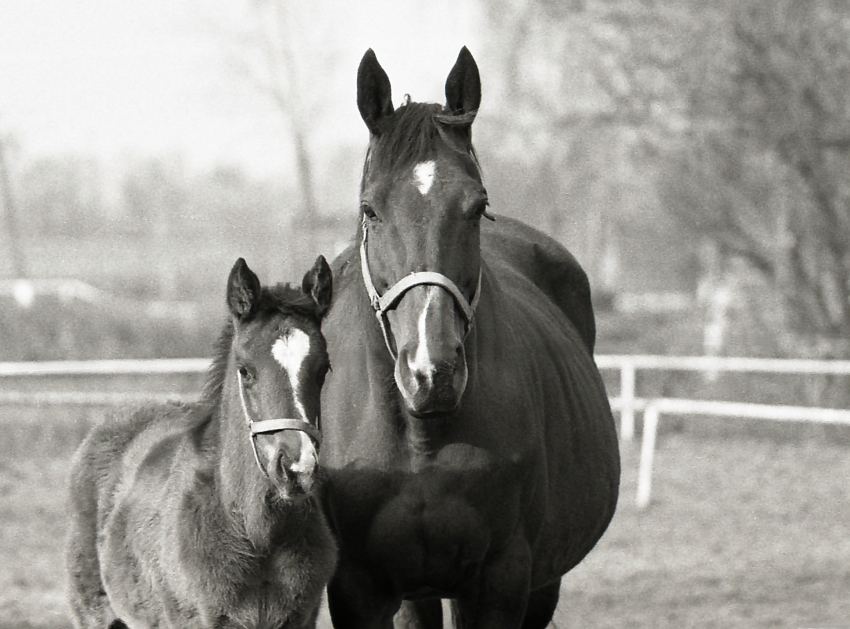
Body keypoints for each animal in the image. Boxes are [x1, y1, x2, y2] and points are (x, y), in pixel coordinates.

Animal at [322, 47, 620, 628]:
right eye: (371, 210)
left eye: (477, 206)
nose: (431, 373)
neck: (421, 438)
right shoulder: (358, 586)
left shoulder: (500, 580)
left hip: (539, 583)